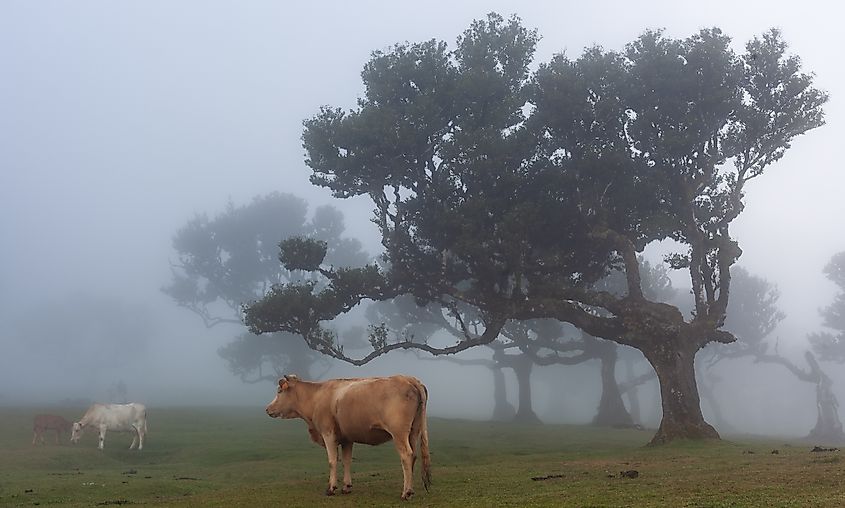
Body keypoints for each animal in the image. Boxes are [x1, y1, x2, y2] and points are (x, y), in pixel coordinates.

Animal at [266, 374, 431, 500]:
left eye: (279, 391)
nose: (267, 409)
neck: (316, 396)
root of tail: (408, 379)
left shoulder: (328, 433)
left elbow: (332, 461)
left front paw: (331, 488)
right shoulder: (347, 438)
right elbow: (346, 461)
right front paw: (346, 486)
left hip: (399, 433)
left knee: (406, 456)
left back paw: (406, 492)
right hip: (413, 432)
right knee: (413, 456)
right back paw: (411, 490)